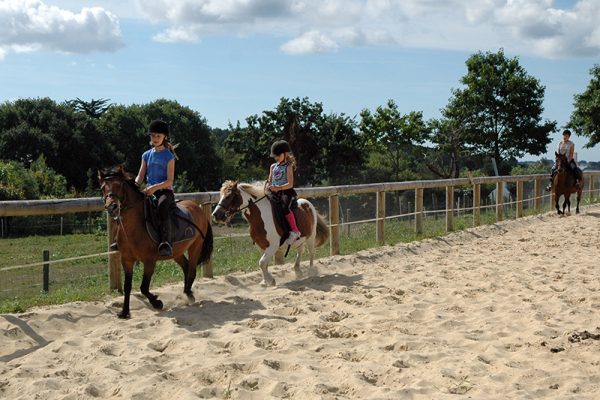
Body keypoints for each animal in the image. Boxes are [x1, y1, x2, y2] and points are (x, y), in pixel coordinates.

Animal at [101, 166, 216, 318]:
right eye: (102, 188)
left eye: (119, 185)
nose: (111, 207)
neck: (133, 228)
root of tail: (197, 207)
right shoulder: (126, 260)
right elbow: (128, 287)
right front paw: (124, 312)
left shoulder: (149, 261)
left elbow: (144, 287)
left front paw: (157, 303)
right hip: (176, 252)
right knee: (186, 267)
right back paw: (187, 292)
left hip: (195, 246)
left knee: (191, 270)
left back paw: (189, 296)